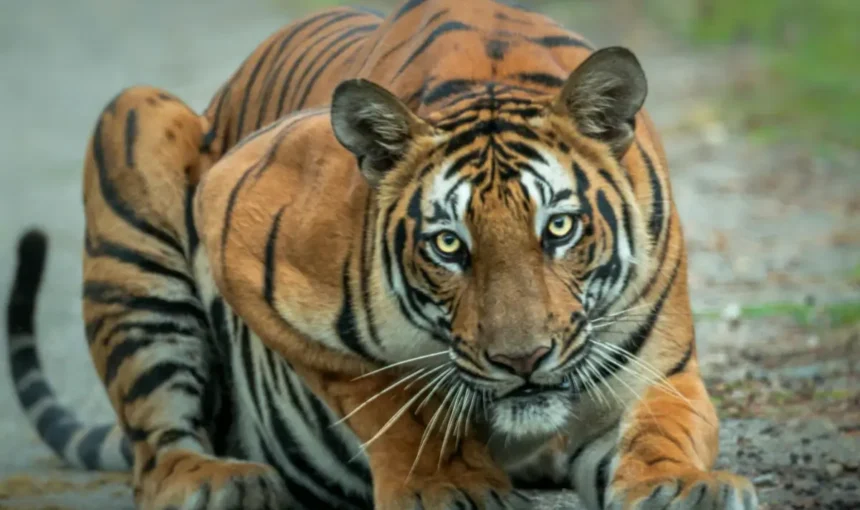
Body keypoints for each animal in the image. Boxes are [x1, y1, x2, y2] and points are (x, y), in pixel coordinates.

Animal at [5, 1, 759, 509]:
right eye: (449, 245)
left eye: (560, 229)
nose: (522, 362)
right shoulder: (235, 220)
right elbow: (390, 395)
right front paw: (446, 484)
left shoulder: (658, 366)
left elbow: (665, 423)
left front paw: (684, 484)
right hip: (136, 125)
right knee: (156, 451)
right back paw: (219, 481)